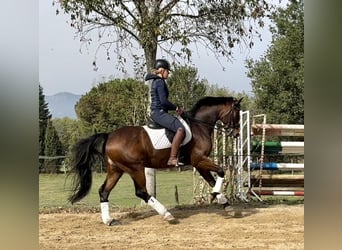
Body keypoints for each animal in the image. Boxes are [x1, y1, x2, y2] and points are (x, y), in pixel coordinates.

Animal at [68, 95, 242, 225]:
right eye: (236, 114)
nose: (237, 134)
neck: (199, 126)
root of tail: (109, 136)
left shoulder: (198, 163)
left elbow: (212, 180)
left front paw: (225, 203)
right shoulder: (199, 160)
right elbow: (221, 172)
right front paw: (215, 196)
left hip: (116, 170)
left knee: (104, 191)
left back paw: (109, 220)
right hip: (135, 169)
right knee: (141, 192)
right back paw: (167, 214)